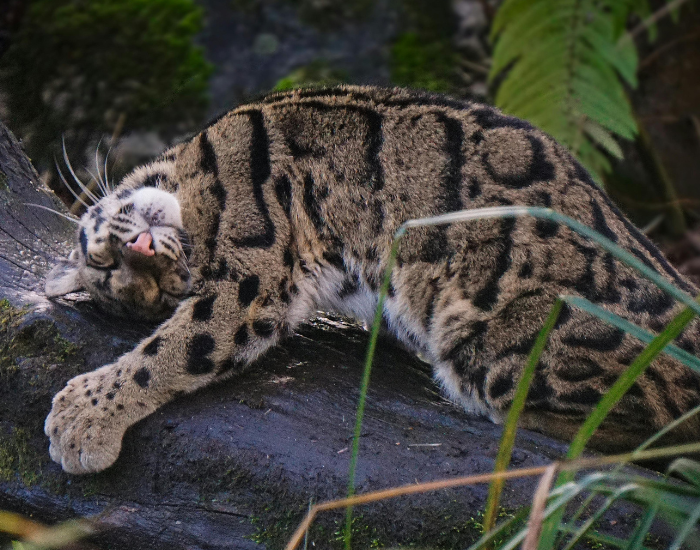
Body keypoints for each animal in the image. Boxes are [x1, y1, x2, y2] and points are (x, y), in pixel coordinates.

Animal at [43, 85, 700, 474]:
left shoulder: (253, 270)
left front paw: (83, 417)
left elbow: (175, 348)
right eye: (144, 285)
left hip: (490, 345)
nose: (149, 255)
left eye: (113, 267)